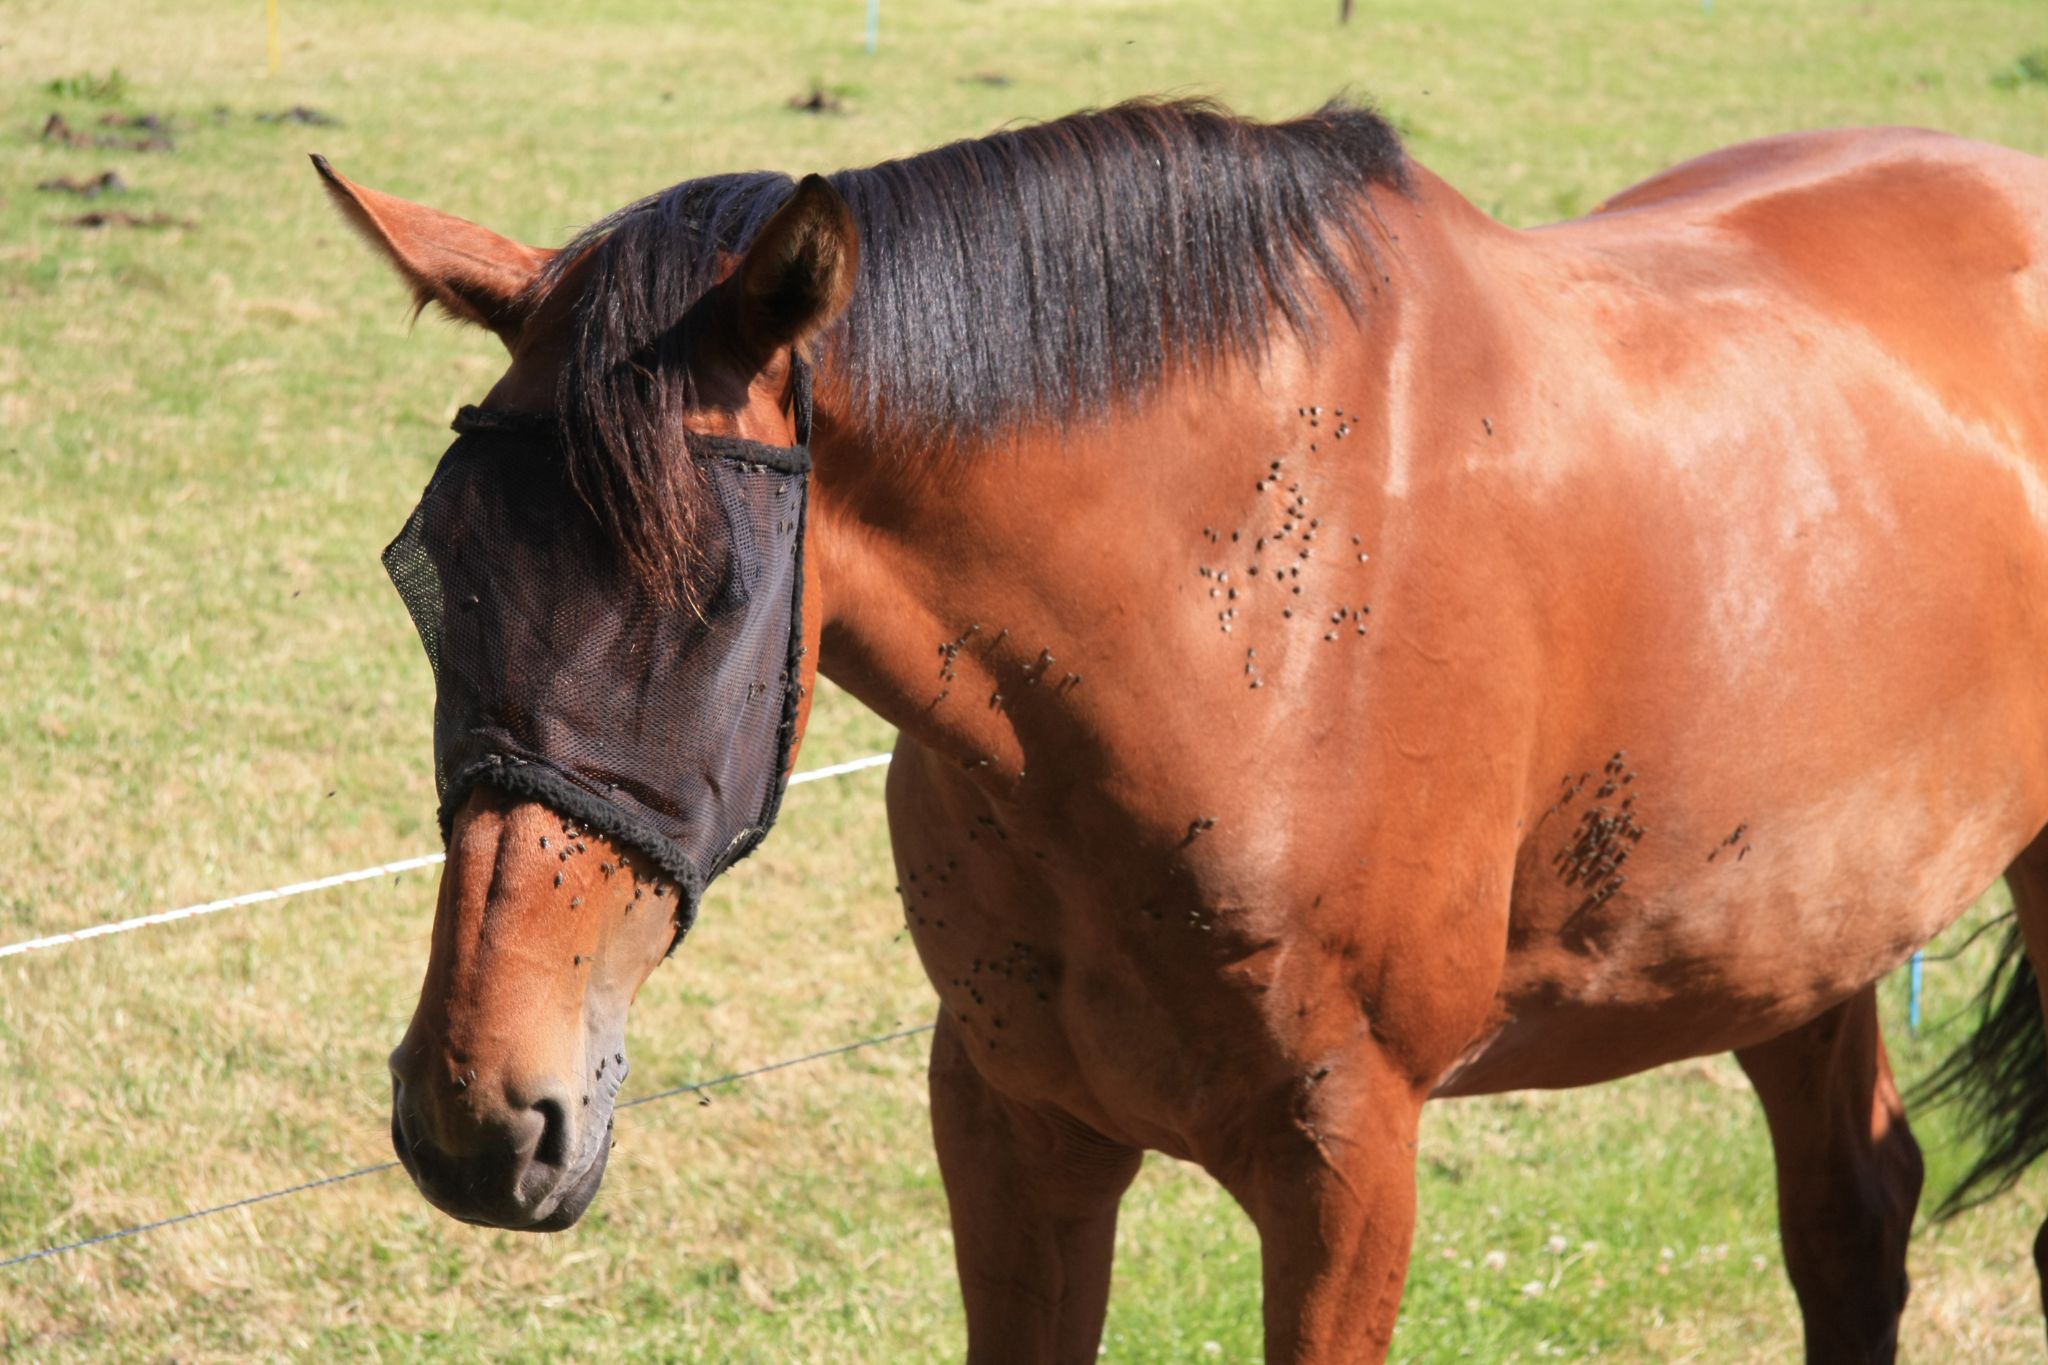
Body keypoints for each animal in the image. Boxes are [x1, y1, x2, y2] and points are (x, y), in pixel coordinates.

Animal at [317, 98, 2048, 1362]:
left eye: (711, 595)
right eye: (435, 563)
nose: (479, 1114)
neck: (1229, 640)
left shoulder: (1347, 1161)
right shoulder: (1012, 1121)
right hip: (1794, 940)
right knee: (1853, 1220)